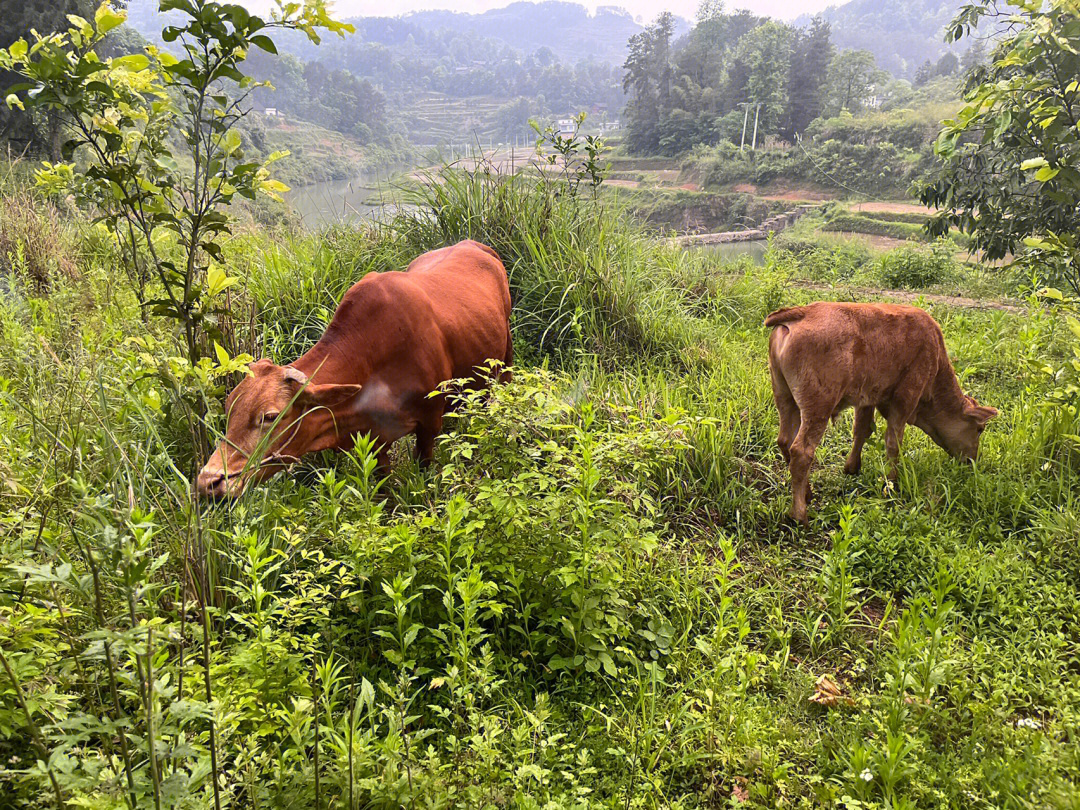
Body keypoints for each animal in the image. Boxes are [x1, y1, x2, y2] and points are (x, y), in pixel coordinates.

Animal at [197, 237, 514, 498]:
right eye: (229, 408)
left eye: (270, 416)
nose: (208, 482)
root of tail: (474, 245)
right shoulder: (374, 439)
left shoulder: (429, 424)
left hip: (506, 355)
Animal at [764, 304, 997, 527]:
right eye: (979, 428)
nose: (973, 460)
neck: (936, 357)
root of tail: (803, 312)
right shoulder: (905, 399)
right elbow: (894, 442)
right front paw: (892, 484)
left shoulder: (867, 400)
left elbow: (862, 430)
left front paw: (852, 468)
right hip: (818, 409)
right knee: (802, 452)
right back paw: (799, 516)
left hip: (785, 398)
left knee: (784, 440)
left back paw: (808, 493)